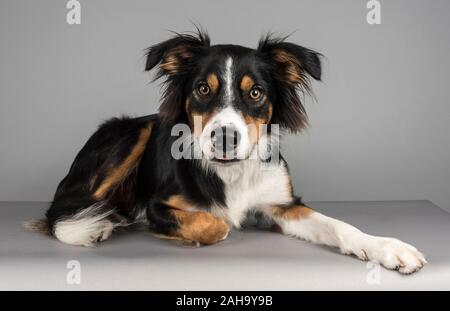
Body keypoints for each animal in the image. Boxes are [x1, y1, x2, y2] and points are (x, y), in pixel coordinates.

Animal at [24, 29, 426, 276]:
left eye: (256, 93)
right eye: (203, 88)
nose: (225, 137)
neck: (232, 170)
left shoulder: (282, 204)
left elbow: (339, 225)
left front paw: (388, 248)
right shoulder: (158, 205)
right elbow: (217, 224)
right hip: (131, 132)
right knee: (59, 212)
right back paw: (95, 224)